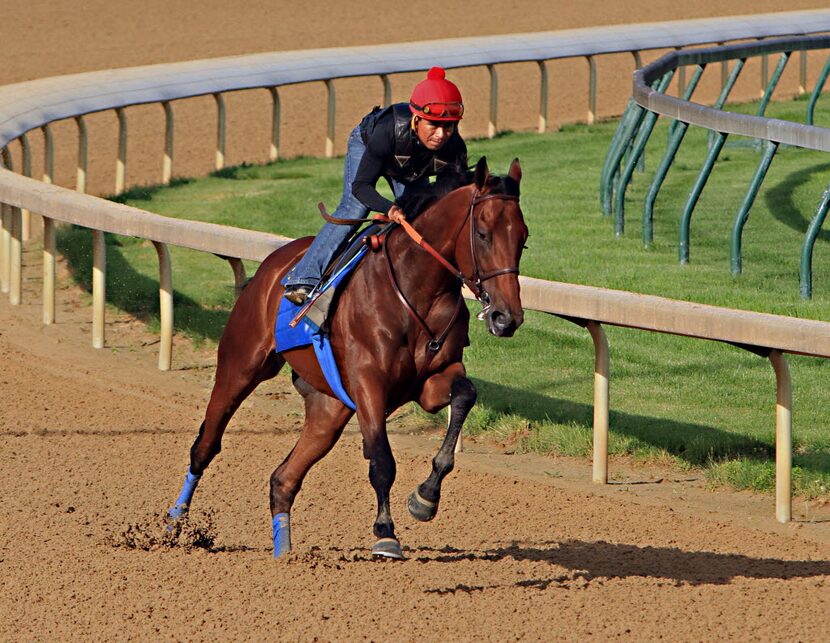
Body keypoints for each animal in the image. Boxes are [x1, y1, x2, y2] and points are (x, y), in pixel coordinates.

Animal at [167, 156, 528, 560]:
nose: (506, 317)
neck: (418, 289)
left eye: (523, 238)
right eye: (482, 234)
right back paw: (175, 524)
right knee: (206, 445)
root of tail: (272, 266)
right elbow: (382, 460)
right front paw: (386, 532)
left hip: (329, 408)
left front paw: (425, 498)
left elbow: (465, 394)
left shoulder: (433, 380)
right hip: (240, 365)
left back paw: (284, 554)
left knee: (283, 478)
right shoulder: (368, 381)